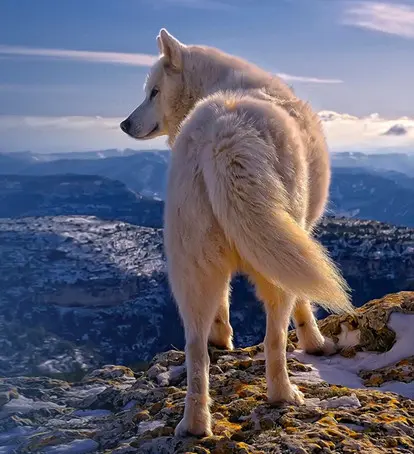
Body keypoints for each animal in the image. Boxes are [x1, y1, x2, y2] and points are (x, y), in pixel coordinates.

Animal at [120, 27, 352, 436]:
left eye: (154, 92)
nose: (124, 124)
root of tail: (223, 135)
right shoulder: (299, 234)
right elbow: (304, 305)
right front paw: (315, 342)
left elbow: (224, 305)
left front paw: (222, 338)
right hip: (273, 260)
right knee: (274, 338)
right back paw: (284, 395)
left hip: (192, 265)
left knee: (195, 348)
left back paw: (195, 424)